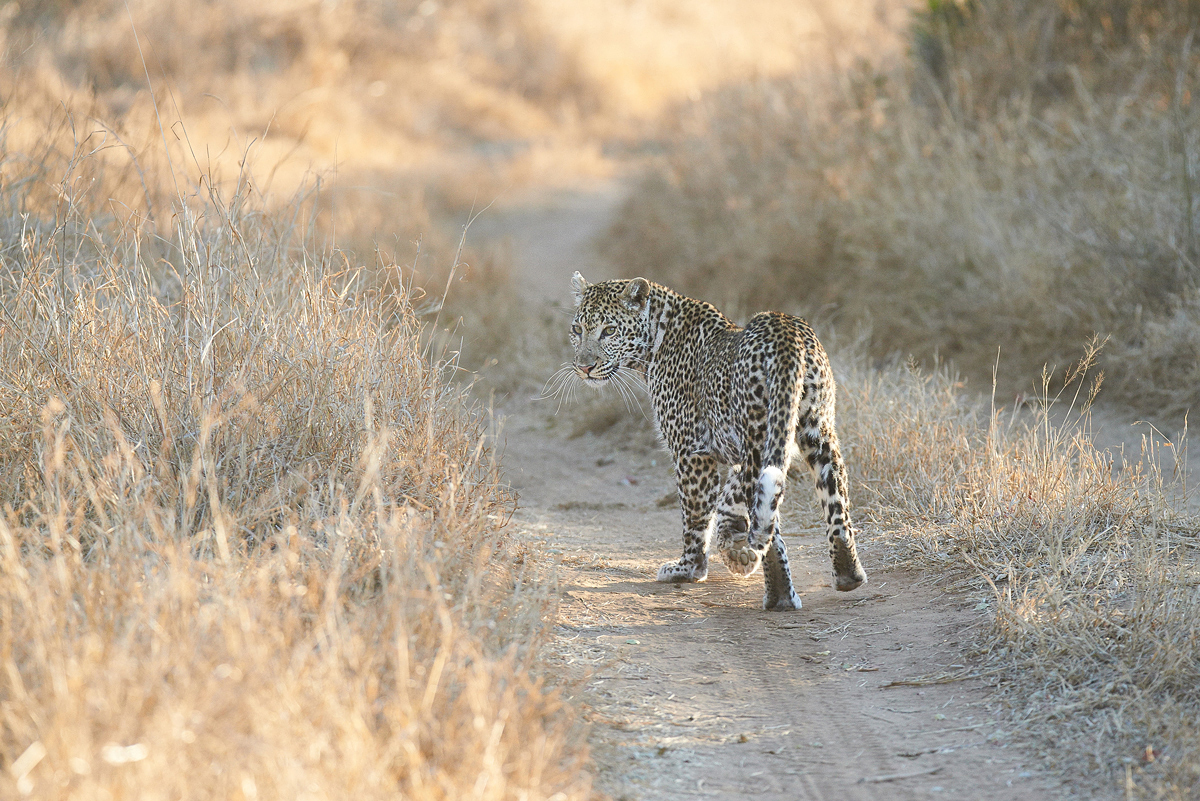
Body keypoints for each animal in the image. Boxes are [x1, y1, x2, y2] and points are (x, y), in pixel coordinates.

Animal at [566, 272, 868, 609]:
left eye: (609, 330)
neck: (656, 338)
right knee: (833, 500)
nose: (584, 366)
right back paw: (847, 575)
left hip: (759, 437)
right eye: (577, 329)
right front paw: (734, 541)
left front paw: (688, 568)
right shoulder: (739, 448)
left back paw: (777, 595)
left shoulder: (691, 451)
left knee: (769, 522)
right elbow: (729, 498)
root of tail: (784, 330)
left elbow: (695, 516)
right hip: (815, 429)